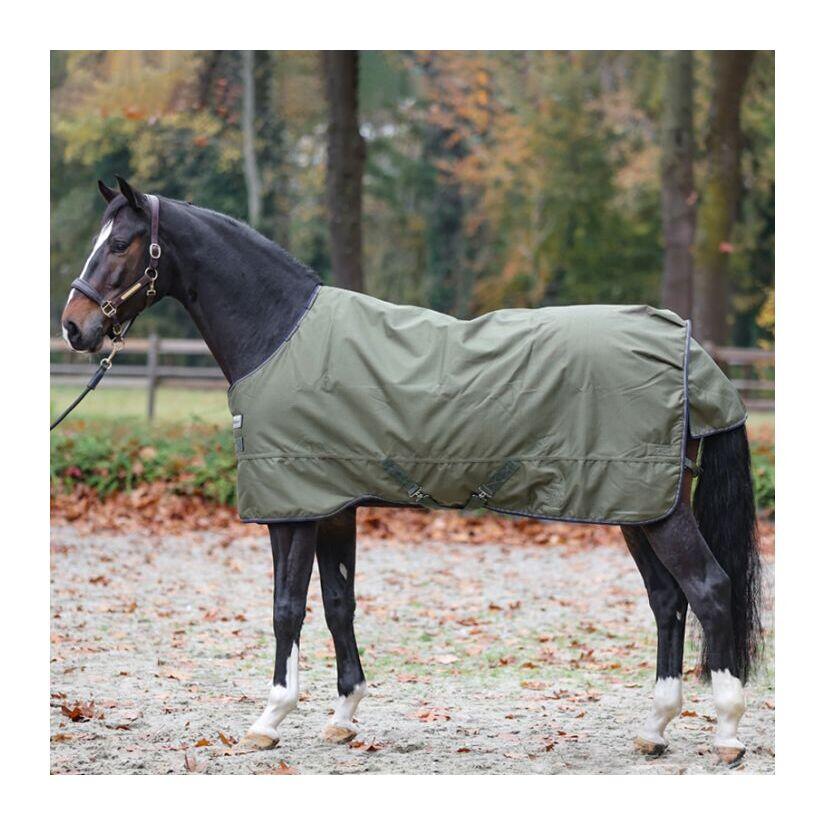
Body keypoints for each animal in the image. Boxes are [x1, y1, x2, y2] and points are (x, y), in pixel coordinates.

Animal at [58, 177, 762, 765]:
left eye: (119, 243)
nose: (73, 328)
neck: (280, 335)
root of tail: (687, 346)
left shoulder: (293, 509)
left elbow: (287, 608)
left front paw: (269, 718)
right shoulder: (333, 505)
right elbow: (338, 603)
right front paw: (343, 715)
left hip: (656, 508)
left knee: (709, 589)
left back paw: (727, 732)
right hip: (637, 503)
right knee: (668, 600)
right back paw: (655, 729)